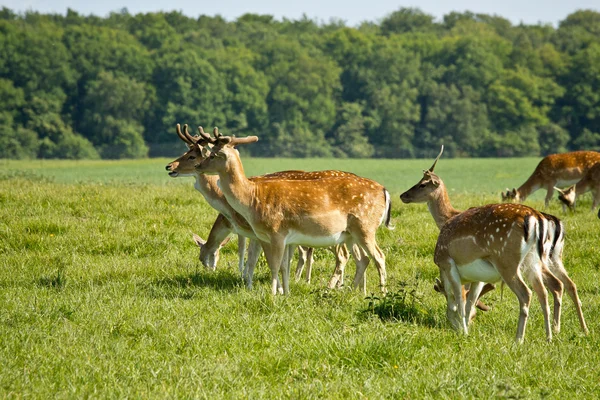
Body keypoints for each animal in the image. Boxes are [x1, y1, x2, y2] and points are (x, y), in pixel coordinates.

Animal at [195, 127, 394, 294]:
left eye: (212, 155)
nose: (198, 166)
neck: (252, 198)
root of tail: (384, 190)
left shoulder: (276, 232)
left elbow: (274, 265)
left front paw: (273, 294)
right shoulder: (271, 237)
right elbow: (283, 266)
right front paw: (286, 293)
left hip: (365, 227)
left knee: (379, 256)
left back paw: (382, 294)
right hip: (350, 233)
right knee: (363, 259)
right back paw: (350, 292)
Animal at [398, 148, 584, 342]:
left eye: (422, 184)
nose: (403, 195)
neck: (447, 218)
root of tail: (540, 219)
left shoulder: (450, 264)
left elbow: (461, 300)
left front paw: (464, 329)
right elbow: (469, 301)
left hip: (508, 261)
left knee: (530, 292)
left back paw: (521, 339)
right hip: (542, 259)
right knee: (557, 286)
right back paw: (560, 333)